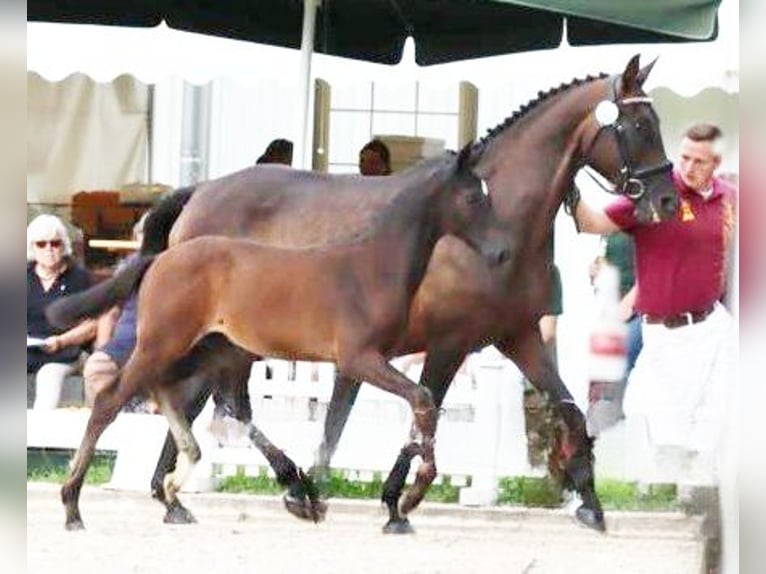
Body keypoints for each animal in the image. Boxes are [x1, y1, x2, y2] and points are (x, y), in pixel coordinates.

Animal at [58, 147, 510, 532]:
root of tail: (157, 260)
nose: (502, 252)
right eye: (473, 197)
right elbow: (422, 400)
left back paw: (176, 489)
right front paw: (411, 495)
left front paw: (389, 497)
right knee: (111, 400)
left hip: (207, 350)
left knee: (171, 389)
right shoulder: (359, 358)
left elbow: (415, 405)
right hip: (167, 342)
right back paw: (74, 504)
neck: (373, 266)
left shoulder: (372, 360)